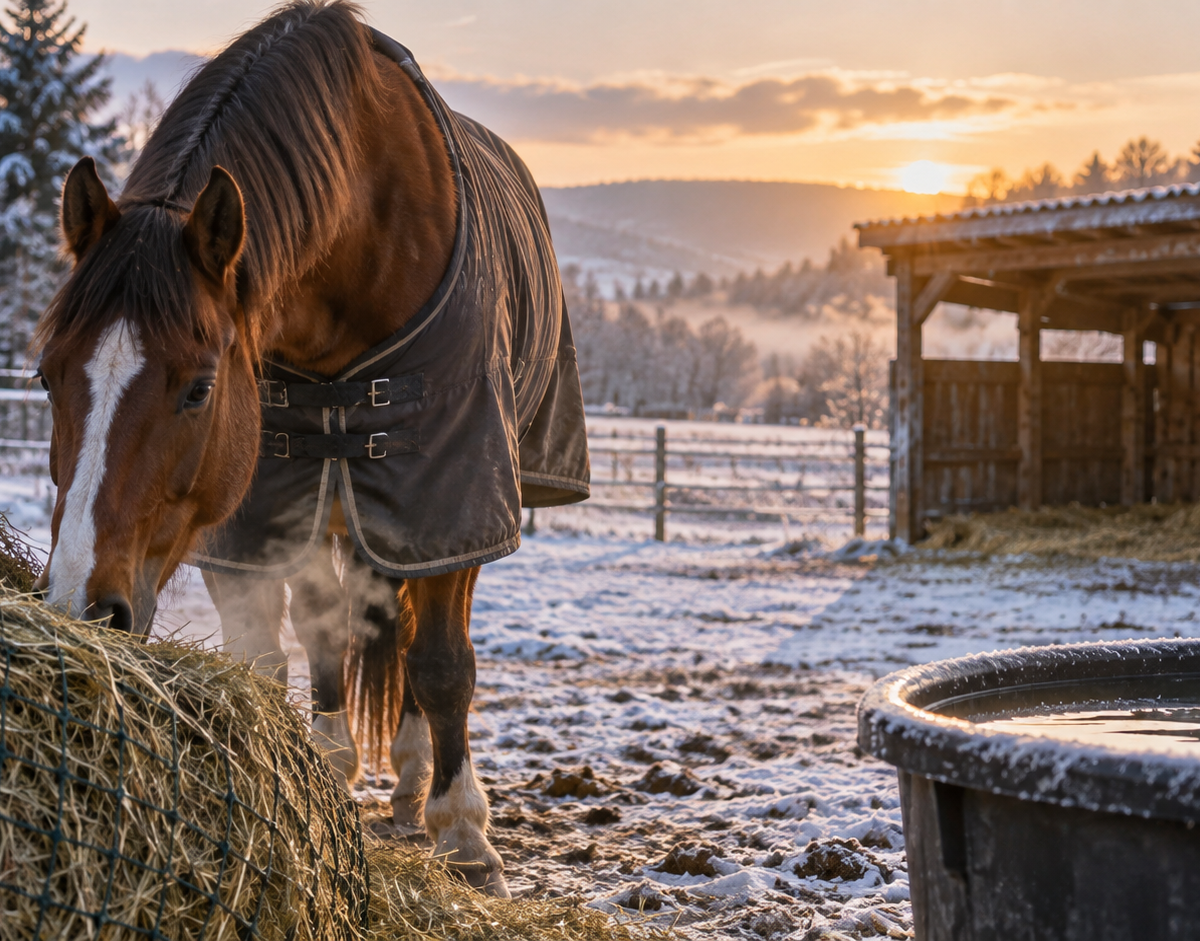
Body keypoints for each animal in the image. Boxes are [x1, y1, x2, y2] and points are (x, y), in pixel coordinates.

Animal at [33, 0, 590, 898]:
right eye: (45, 377)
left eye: (198, 388)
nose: (84, 607)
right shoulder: (252, 511)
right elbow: (268, 651)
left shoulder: (450, 495)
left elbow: (442, 661)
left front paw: (465, 833)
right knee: (339, 622)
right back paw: (344, 760)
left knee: (402, 629)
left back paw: (414, 776)